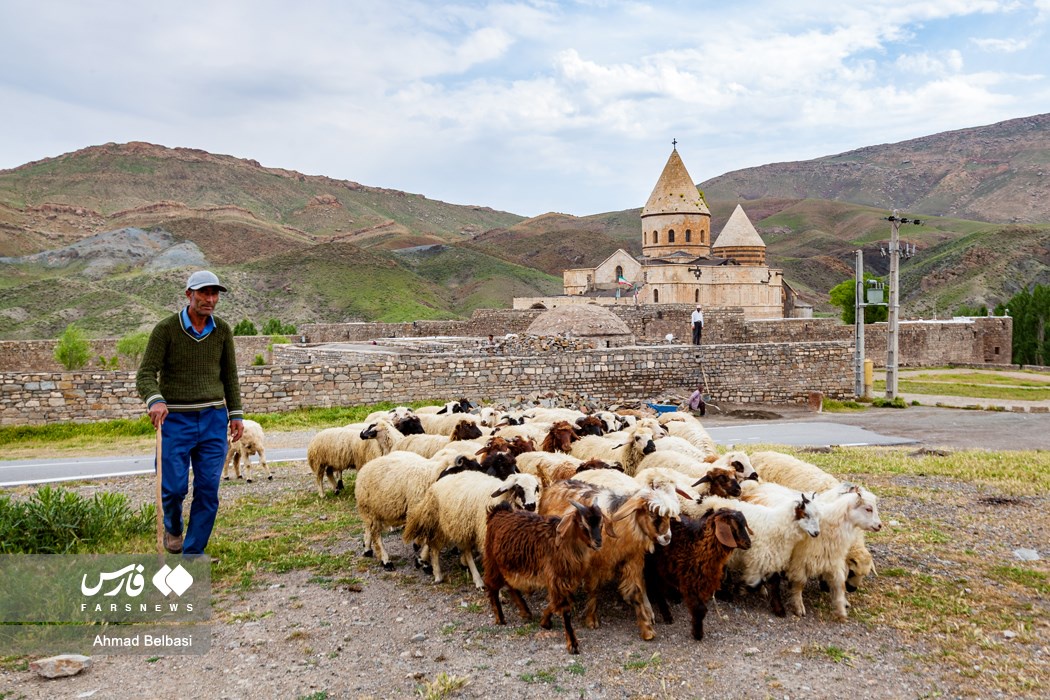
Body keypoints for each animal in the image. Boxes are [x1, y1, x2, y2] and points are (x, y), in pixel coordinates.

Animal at [396, 468, 537, 587]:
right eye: (519, 488)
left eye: (536, 488)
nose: (532, 505)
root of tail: (436, 484)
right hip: (442, 526)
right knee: (437, 549)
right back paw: (441, 576)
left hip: (463, 527)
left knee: (464, 551)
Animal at [480, 501, 604, 654]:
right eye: (583, 524)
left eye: (601, 524)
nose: (598, 542)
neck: (564, 544)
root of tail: (497, 512)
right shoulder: (558, 577)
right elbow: (564, 607)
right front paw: (572, 644)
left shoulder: (565, 580)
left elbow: (557, 602)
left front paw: (545, 621)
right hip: (493, 560)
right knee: (491, 584)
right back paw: (500, 618)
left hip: (510, 563)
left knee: (510, 585)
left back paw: (525, 612)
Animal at [541, 482, 680, 642]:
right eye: (652, 513)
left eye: (669, 516)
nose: (667, 538)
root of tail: (556, 485)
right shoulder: (595, 564)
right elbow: (593, 590)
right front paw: (591, 619)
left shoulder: (631, 561)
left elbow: (636, 592)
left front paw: (647, 629)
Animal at [642, 510, 751, 642]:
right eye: (734, 527)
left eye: (744, 525)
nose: (749, 543)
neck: (698, 546)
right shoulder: (689, 581)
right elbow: (700, 608)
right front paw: (697, 634)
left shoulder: (703, 583)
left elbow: (701, 609)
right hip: (653, 566)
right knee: (656, 589)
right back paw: (667, 615)